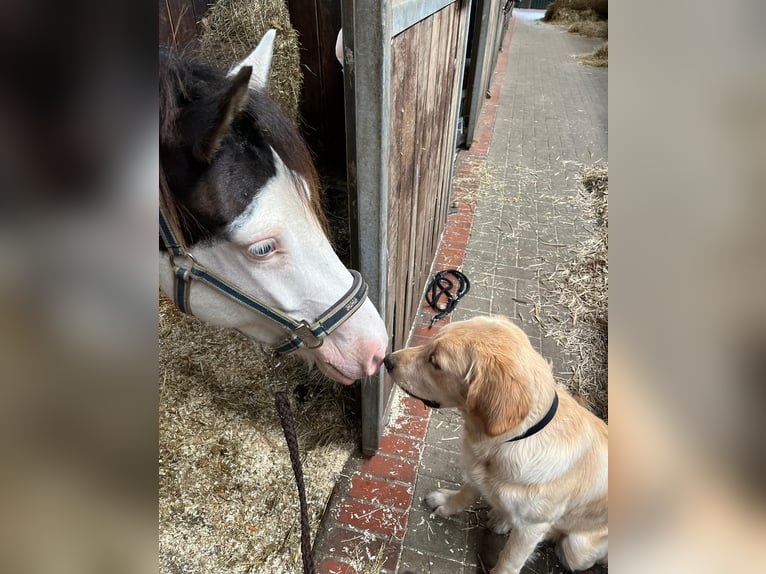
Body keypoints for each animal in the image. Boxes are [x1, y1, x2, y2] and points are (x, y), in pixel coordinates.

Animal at [388, 318, 608, 572]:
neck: (506, 442)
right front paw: (448, 503)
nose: (387, 360)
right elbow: (466, 492)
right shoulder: (477, 471)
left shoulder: (531, 529)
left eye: (435, 362)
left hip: (576, 548)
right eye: (430, 342)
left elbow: (510, 560)